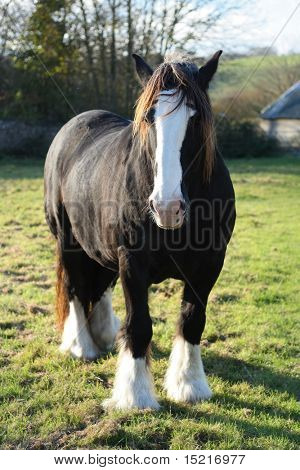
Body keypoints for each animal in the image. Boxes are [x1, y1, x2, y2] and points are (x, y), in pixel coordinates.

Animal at [45, 51, 237, 410]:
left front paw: (189, 384)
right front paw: (135, 395)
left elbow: (192, 320)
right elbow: (139, 326)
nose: (167, 207)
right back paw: (81, 346)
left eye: (195, 119)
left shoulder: (209, 264)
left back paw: (104, 335)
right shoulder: (133, 262)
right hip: (68, 240)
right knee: (76, 288)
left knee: (100, 285)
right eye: (149, 118)